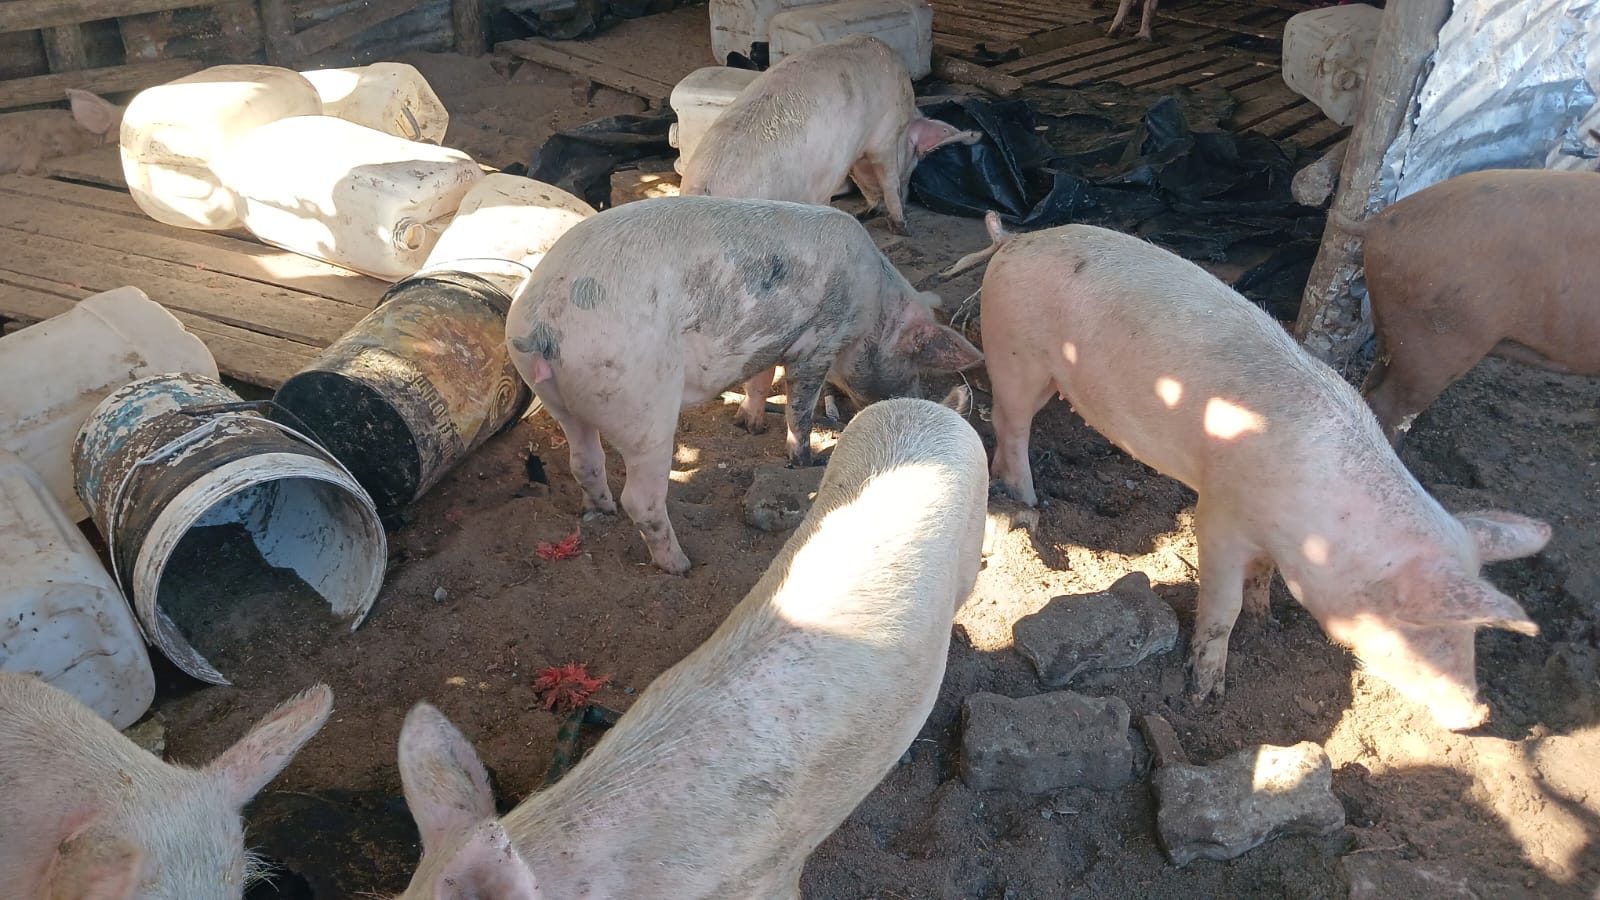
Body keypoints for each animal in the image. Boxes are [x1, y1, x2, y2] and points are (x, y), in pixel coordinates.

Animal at [505, 195, 983, 575]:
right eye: (915, 365)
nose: (917, 400)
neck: (873, 308)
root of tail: (543, 327)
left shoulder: (770, 341)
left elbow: (760, 380)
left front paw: (748, 426)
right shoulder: (819, 341)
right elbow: (800, 406)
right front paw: (803, 461)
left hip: (557, 398)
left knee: (584, 461)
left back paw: (600, 511)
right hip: (641, 404)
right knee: (641, 498)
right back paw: (680, 565)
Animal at [677, 33, 981, 236]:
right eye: (913, 164)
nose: (908, 201)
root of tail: (701, 191)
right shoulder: (883, 137)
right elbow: (888, 179)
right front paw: (902, 226)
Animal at [961, 214, 1549, 730]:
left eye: (1473, 637)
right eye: (1422, 632)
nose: (1476, 716)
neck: (1321, 533)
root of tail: (1015, 240)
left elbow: (1262, 579)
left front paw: (1269, 622)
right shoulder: (1219, 514)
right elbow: (1223, 606)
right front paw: (1205, 694)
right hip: (1013, 352)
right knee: (1010, 428)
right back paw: (1029, 503)